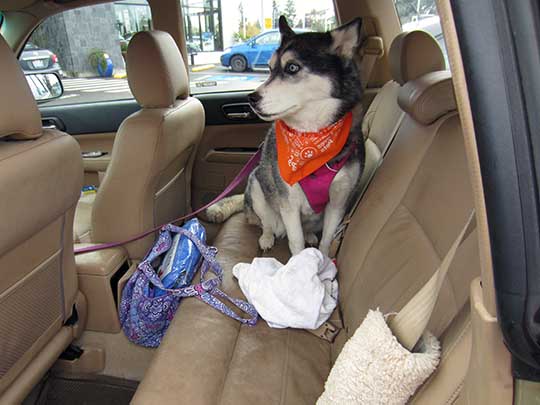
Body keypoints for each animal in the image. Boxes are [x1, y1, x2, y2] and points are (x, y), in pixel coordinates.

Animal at [207, 17, 368, 256]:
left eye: (292, 67)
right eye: (270, 68)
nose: (251, 98)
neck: (311, 137)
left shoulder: (338, 202)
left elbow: (327, 239)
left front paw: (322, 259)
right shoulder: (288, 201)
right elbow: (296, 241)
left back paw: (309, 234)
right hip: (258, 184)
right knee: (265, 223)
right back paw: (267, 237)